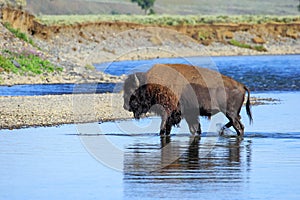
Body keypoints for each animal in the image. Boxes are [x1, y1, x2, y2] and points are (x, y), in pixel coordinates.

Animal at [123, 63, 252, 137]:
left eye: (133, 92)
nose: (126, 106)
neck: (151, 85)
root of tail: (242, 85)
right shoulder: (190, 115)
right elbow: (195, 129)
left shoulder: (168, 113)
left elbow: (164, 129)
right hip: (231, 113)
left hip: (230, 112)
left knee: (239, 127)